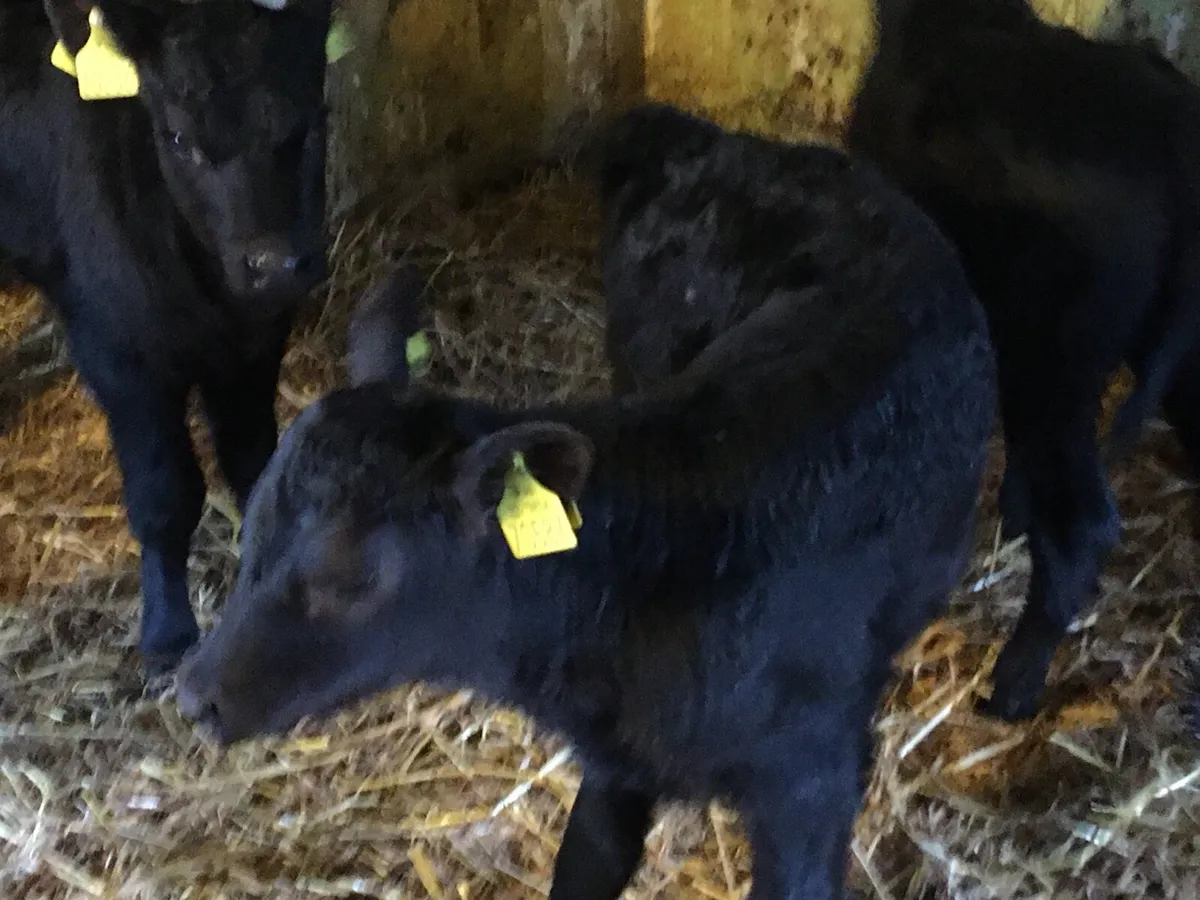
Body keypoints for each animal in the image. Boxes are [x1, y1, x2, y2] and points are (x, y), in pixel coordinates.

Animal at [0, 0, 333, 673]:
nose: (276, 263)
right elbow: (164, 494)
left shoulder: (255, 340)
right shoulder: (116, 350)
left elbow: (253, 462)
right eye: (178, 136)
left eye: (314, 114)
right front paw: (167, 632)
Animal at [176, 108, 996, 900]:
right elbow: (586, 862)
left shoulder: (813, 784)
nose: (194, 694)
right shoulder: (615, 766)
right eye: (250, 531)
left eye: (351, 575)